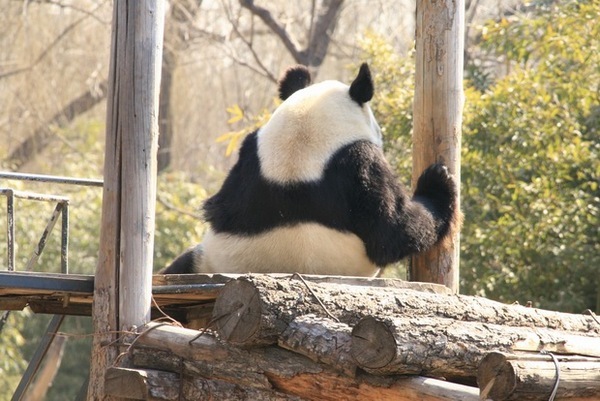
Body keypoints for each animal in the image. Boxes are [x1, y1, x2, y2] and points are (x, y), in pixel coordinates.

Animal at [162, 63, 458, 276]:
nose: (381, 136)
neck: (301, 140)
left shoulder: (248, 156)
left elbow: (215, 208)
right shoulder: (359, 166)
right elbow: (393, 231)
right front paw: (438, 180)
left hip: (206, 259)